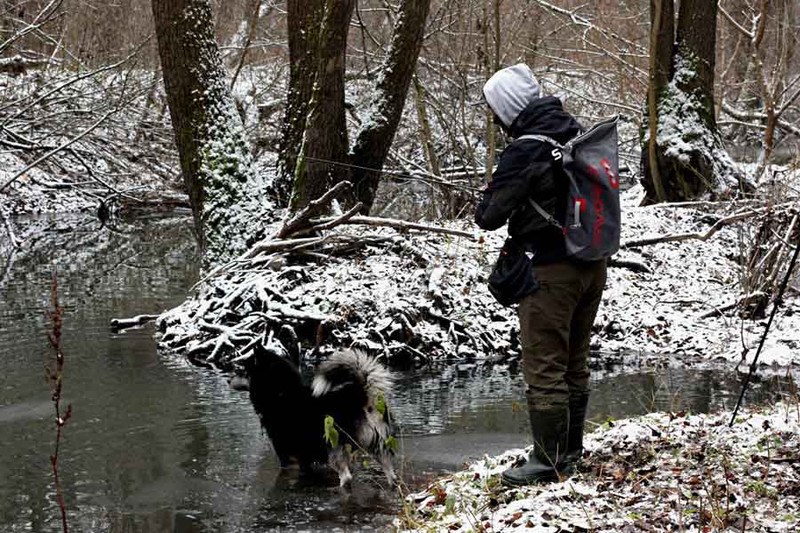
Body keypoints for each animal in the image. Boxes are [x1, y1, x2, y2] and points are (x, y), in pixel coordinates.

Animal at [238, 342, 400, 488]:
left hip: (335, 447)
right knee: (392, 475)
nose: (231, 377)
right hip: (379, 445)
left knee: (347, 477)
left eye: (244, 370)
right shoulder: (304, 457)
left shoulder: (287, 457)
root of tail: (361, 395)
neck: (280, 394)